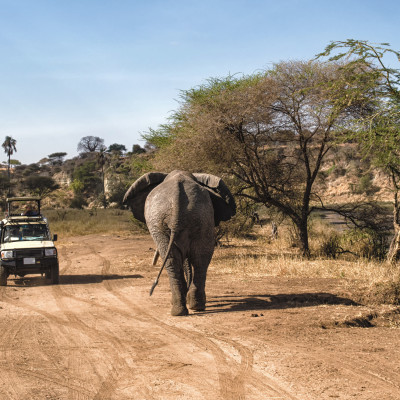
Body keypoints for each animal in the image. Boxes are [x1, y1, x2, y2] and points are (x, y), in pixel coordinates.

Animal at [123, 170, 236, 316]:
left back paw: (184, 308)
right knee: (195, 259)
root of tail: (178, 200)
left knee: (184, 259)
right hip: (193, 219)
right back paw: (190, 308)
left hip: (169, 222)